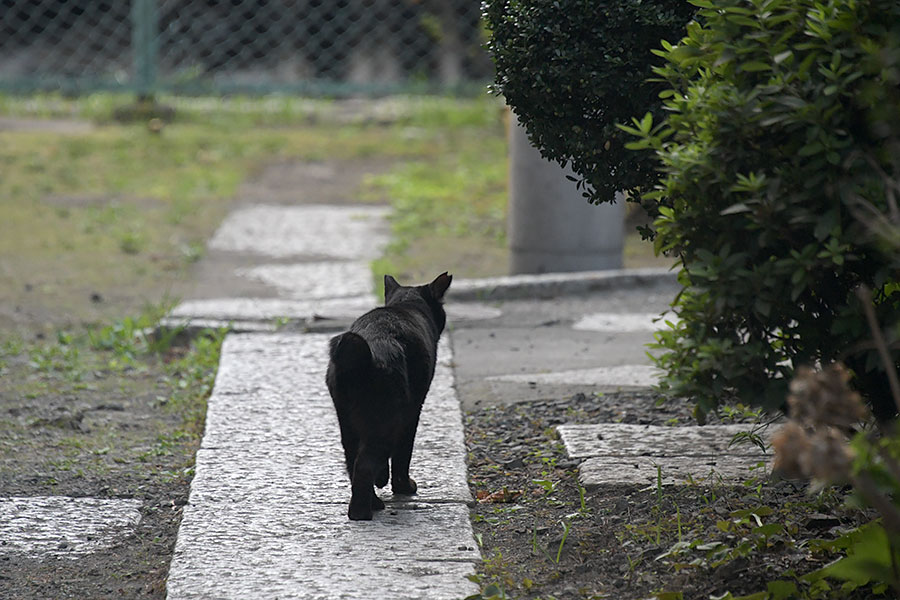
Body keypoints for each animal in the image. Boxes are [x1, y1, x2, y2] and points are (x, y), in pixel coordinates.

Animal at [326, 272, 454, 520]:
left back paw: (373, 502)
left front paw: (383, 479)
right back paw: (362, 512)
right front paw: (402, 486)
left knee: (353, 461)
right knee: (365, 464)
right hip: (385, 419)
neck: (406, 304)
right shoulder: (413, 411)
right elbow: (403, 452)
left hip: (348, 423)